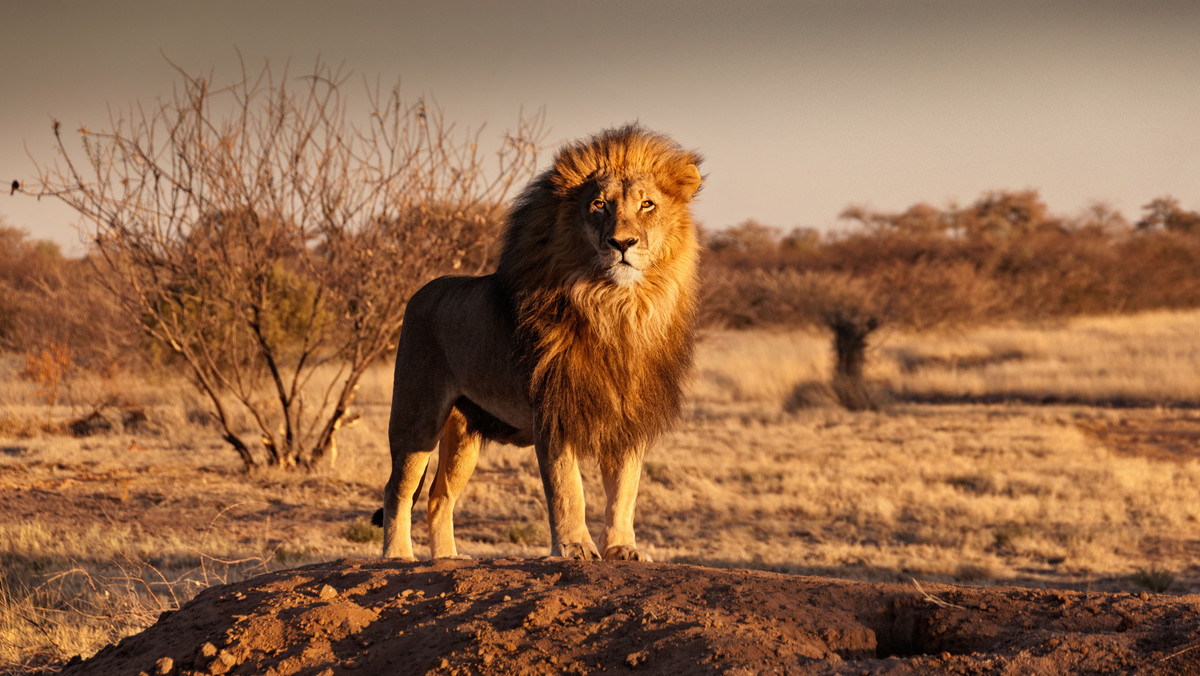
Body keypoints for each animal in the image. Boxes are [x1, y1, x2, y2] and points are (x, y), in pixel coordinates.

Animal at [379, 125, 700, 561]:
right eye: (599, 205)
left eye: (647, 204)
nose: (623, 243)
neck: (618, 308)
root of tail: (421, 292)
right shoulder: (553, 410)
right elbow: (568, 488)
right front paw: (574, 547)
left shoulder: (628, 417)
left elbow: (625, 490)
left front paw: (622, 548)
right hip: (417, 416)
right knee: (398, 488)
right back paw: (397, 556)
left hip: (463, 434)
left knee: (438, 496)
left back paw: (447, 559)